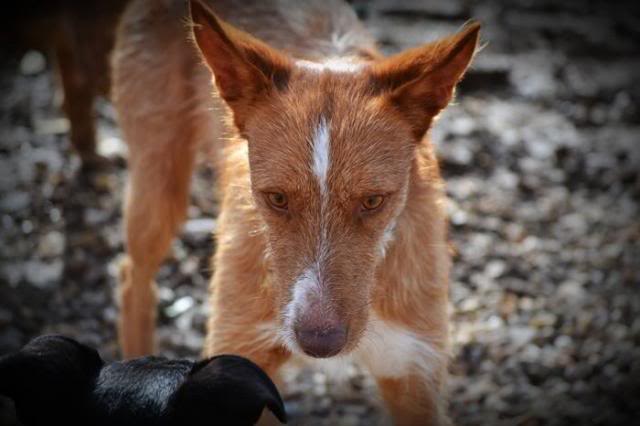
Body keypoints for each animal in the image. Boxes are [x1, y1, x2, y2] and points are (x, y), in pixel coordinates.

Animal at [111, 0, 480, 422]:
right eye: (277, 198)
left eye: (373, 201)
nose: (320, 344)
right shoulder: (243, 354)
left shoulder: (412, 368)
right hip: (159, 182)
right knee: (132, 276)